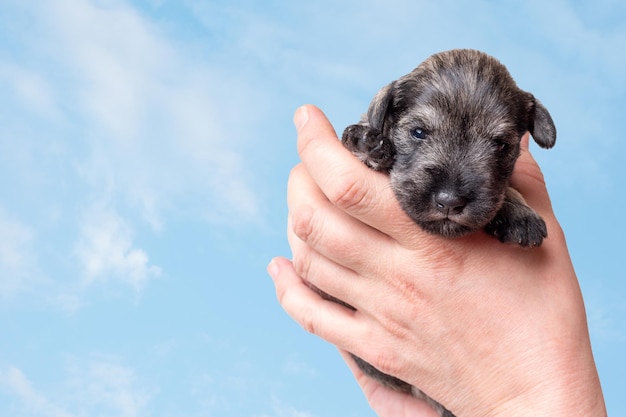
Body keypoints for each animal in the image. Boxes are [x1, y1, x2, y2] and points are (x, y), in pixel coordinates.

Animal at [338, 49, 552, 416]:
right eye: (418, 132)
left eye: (500, 144)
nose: (450, 201)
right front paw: (367, 144)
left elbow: (508, 190)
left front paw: (519, 212)